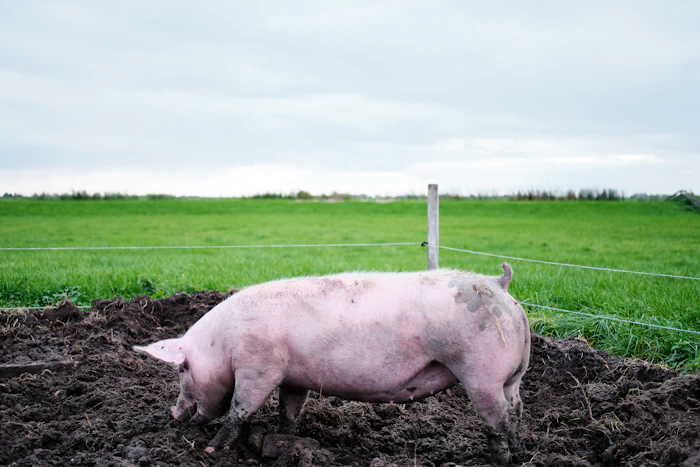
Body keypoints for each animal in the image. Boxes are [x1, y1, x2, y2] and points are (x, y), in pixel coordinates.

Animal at [134, 263, 530, 464]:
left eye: (182, 368)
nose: (173, 412)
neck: (224, 343)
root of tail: (500, 284)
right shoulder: (293, 376)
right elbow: (289, 410)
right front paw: (283, 440)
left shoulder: (259, 367)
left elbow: (239, 408)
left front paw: (212, 449)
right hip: (512, 377)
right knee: (516, 410)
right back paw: (518, 450)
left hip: (481, 373)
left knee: (497, 418)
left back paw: (499, 460)